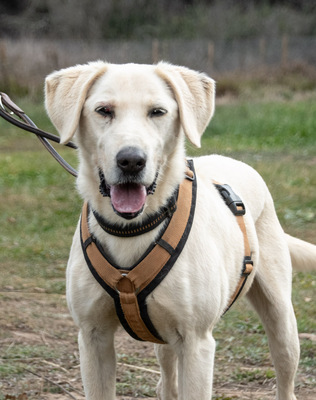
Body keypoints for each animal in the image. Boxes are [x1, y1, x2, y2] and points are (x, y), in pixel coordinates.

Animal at [45, 61, 316, 400]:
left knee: (285, 373)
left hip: (281, 321)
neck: (133, 229)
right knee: (167, 382)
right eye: (103, 110)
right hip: (165, 338)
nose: (131, 160)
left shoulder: (196, 343)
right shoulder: (93, 337)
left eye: (158, 112)